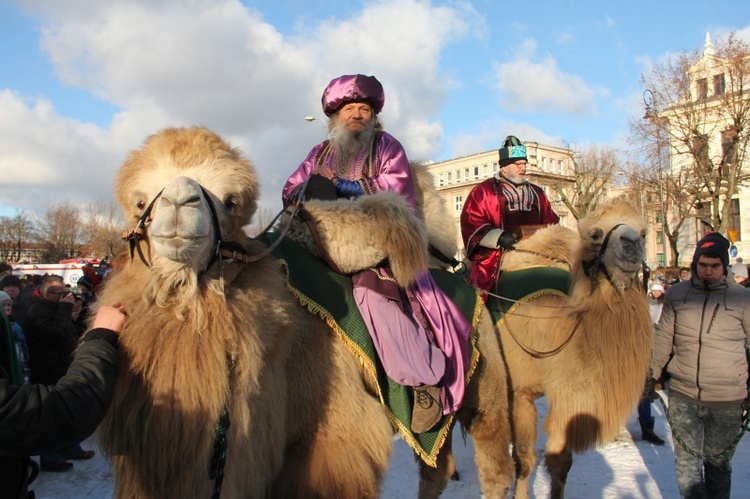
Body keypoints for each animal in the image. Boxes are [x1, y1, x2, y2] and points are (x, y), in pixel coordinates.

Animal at [94, 128, 516, 499]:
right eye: (140, 202)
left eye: (230, 201)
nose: (180, 202)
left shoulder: (332, 439)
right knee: (435, 467)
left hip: (486, 381)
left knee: (496, 462)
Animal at [490, 200, 656, 499]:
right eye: (595, 234)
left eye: (644, 232)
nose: (631, 243)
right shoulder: (519, 390)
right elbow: (524, 458)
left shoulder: (570, 397)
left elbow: (560, 462)